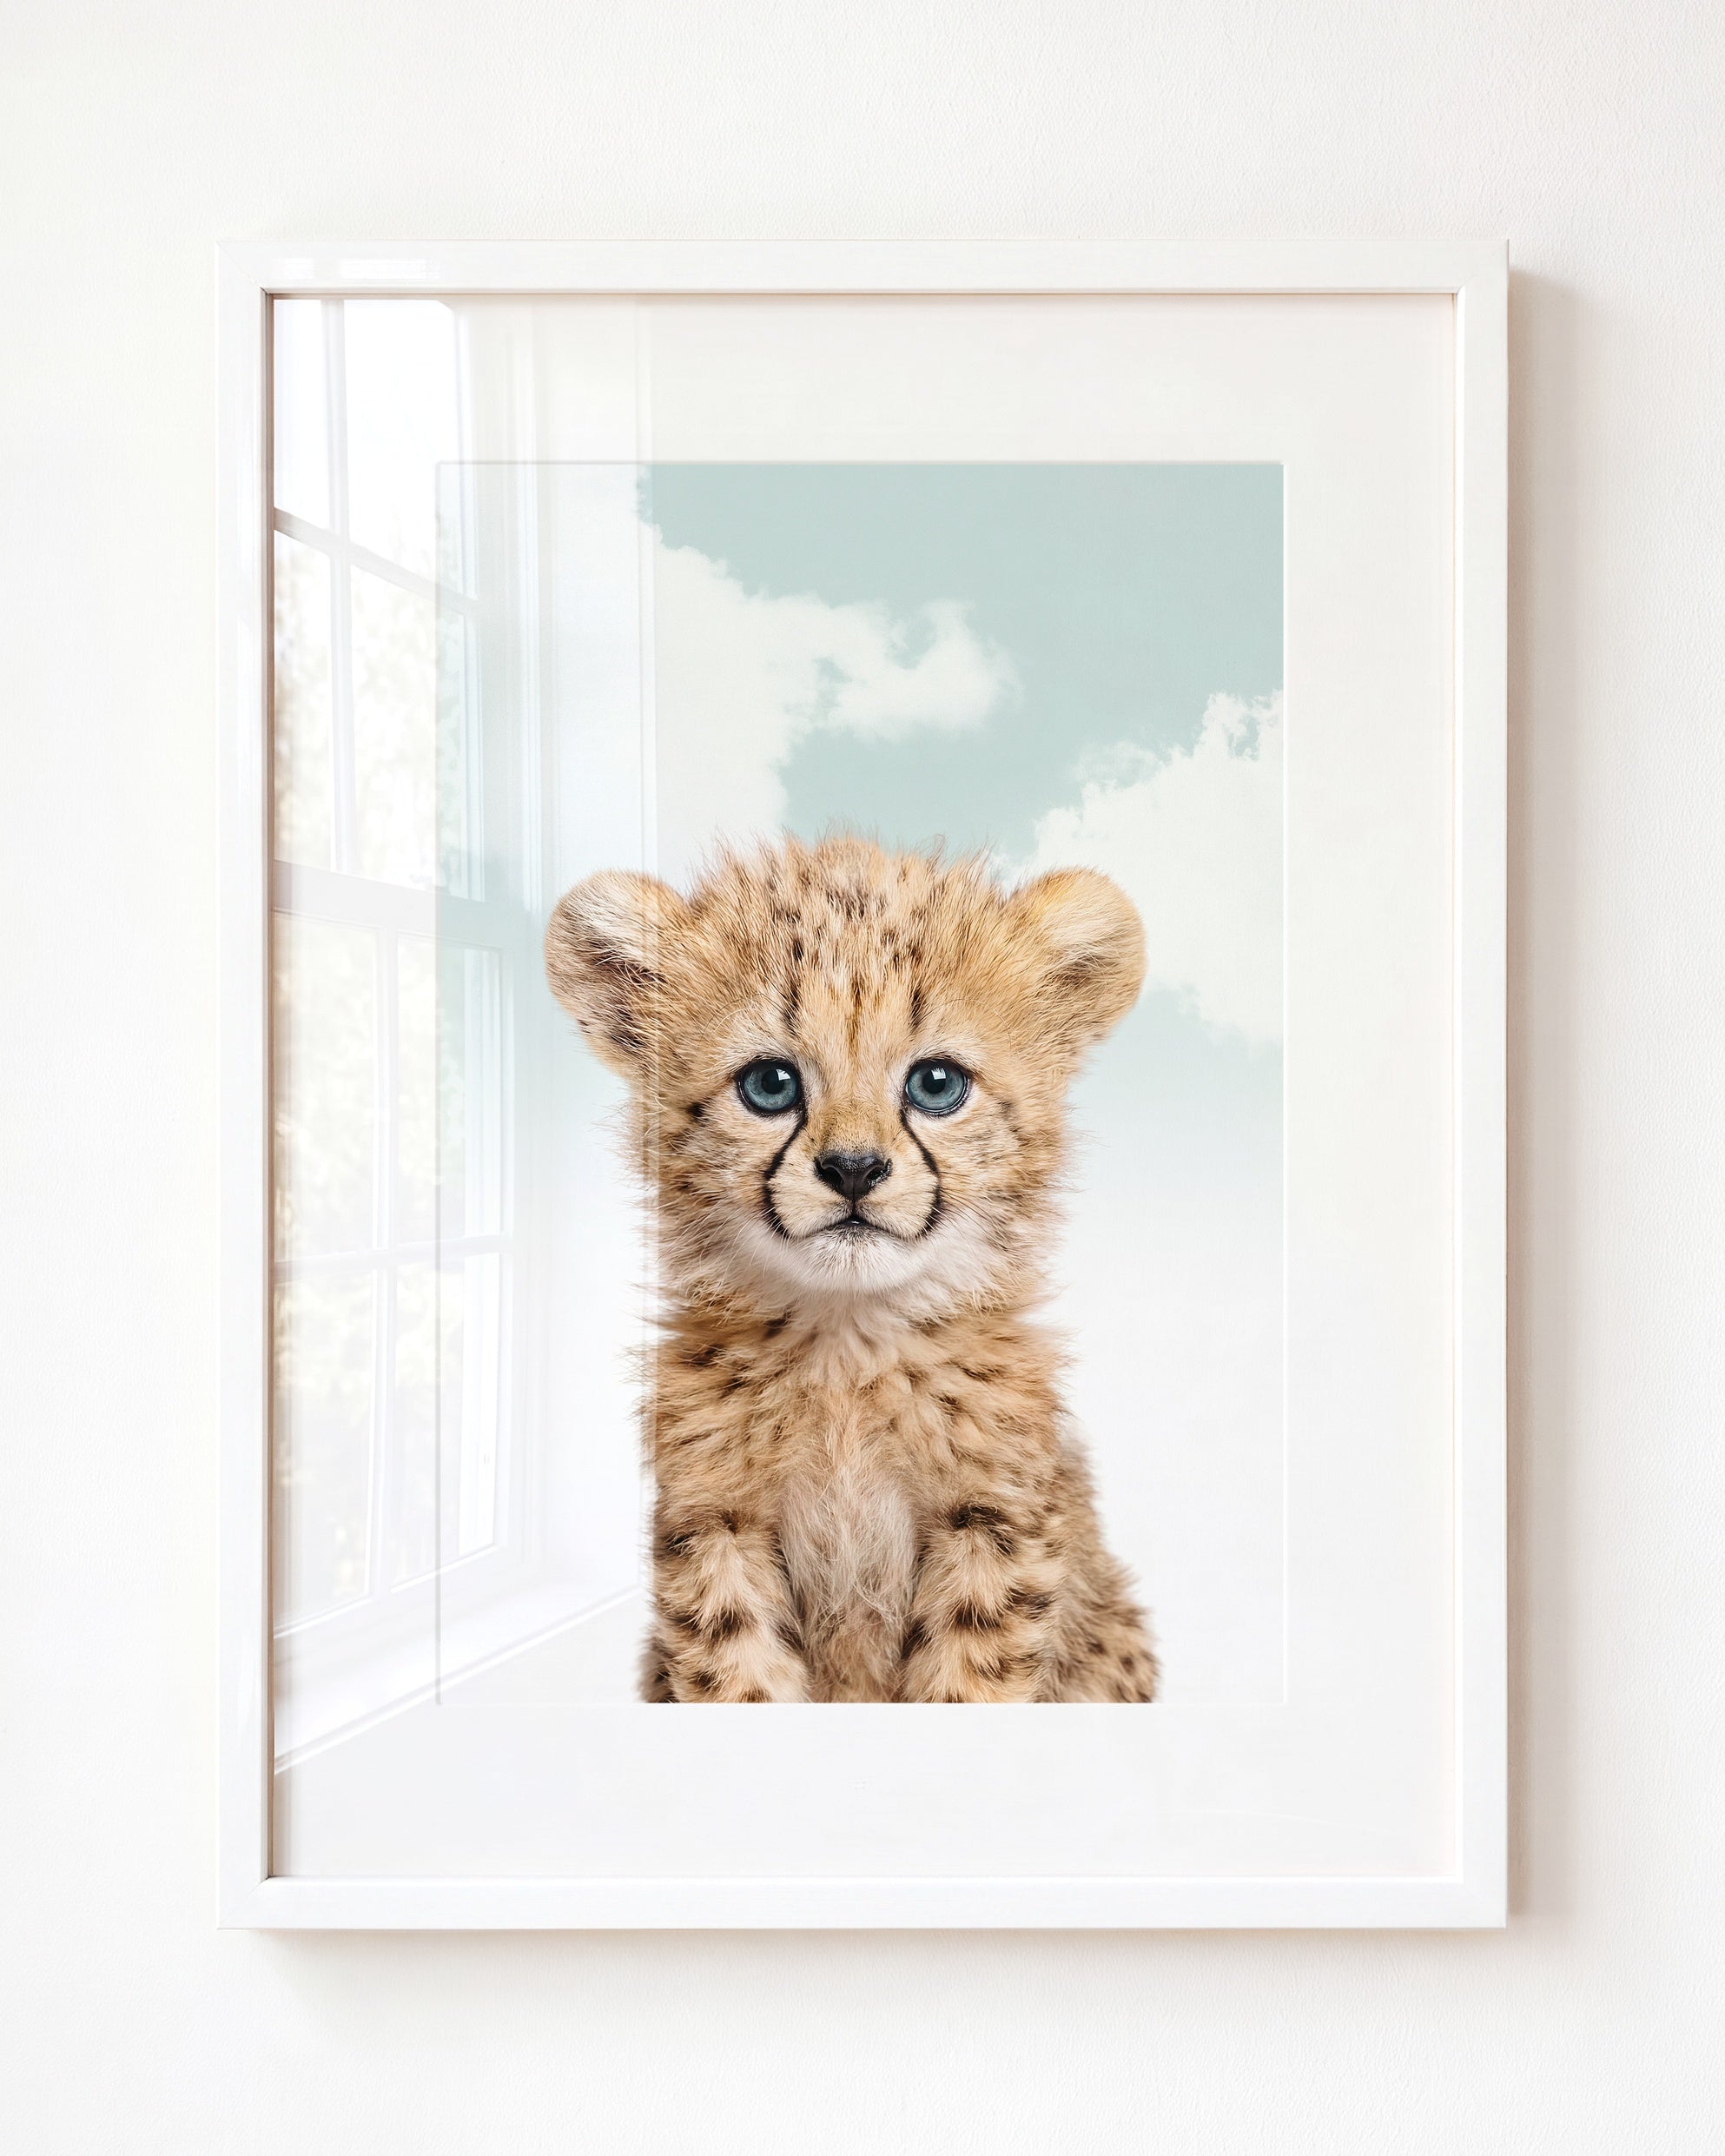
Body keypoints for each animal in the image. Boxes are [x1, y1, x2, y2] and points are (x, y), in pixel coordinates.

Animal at [544, 833, 1159, 1702]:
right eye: (770, 1084)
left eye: (936, 1083)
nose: (854, 1169)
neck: (848, 1344)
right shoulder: (716, 1525)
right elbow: (740, 1675)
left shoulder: (993, 1523)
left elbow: (969, 1680)